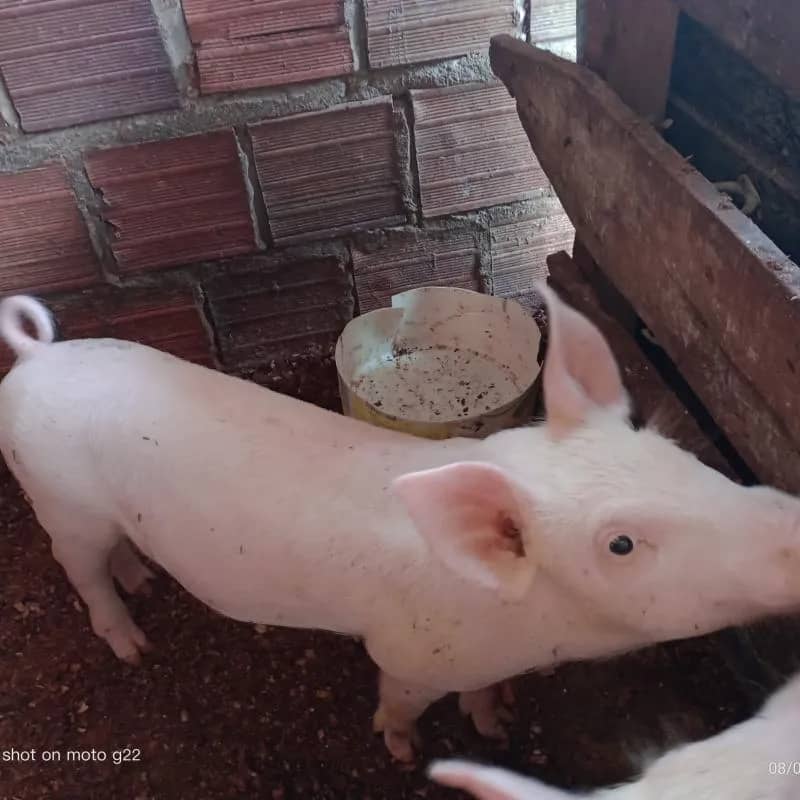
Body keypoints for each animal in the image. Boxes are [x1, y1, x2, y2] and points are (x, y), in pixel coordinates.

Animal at [1, 288, 800, 763]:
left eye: (676, 456)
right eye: (620, 544)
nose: (791, 530)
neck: (530, 627)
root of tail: (37, 355)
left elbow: (484, 697)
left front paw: (498, 723)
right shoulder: (410, 653)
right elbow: (399, 700)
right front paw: (406, 752)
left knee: (120, 553)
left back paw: (141, 579)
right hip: (59, 497)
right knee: (82, 572)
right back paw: (133, 644)